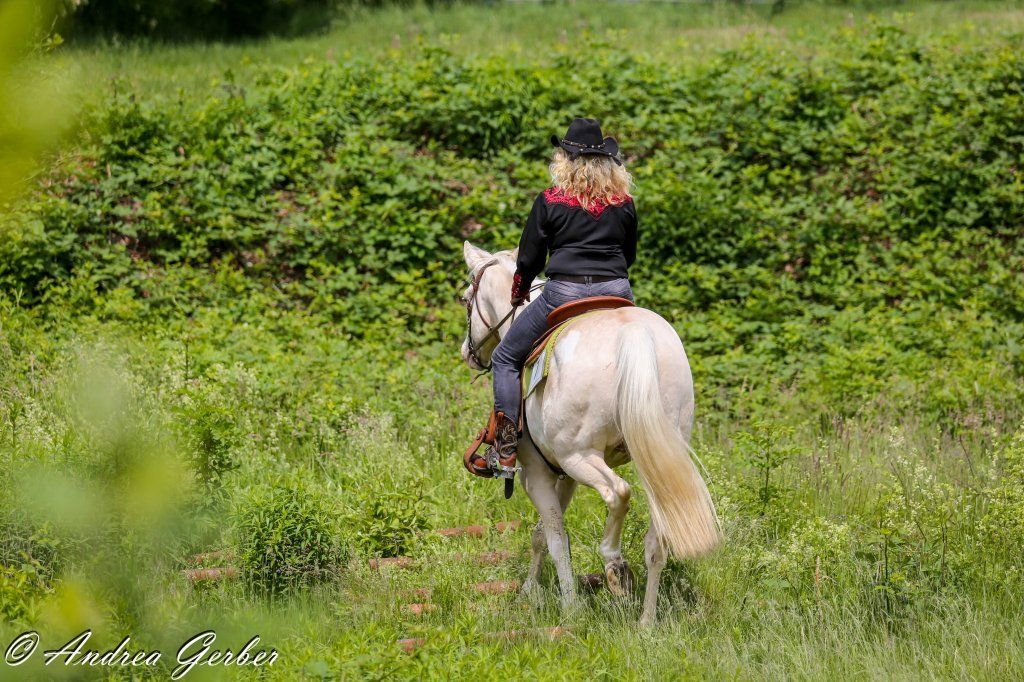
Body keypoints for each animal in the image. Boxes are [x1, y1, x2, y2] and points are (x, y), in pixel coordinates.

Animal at [460, 242, 720, 625]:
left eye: (465, 299)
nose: (468, 352)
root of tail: (632, 333)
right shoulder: (564, 476)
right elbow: (542, 534)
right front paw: (531, 590)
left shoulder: (537, 473)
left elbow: (554, 538)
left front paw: (567, 606)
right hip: (654, 457)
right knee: (657, 542)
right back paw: (645, 622)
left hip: (581, 457)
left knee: (618, 493)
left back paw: (614, 563)